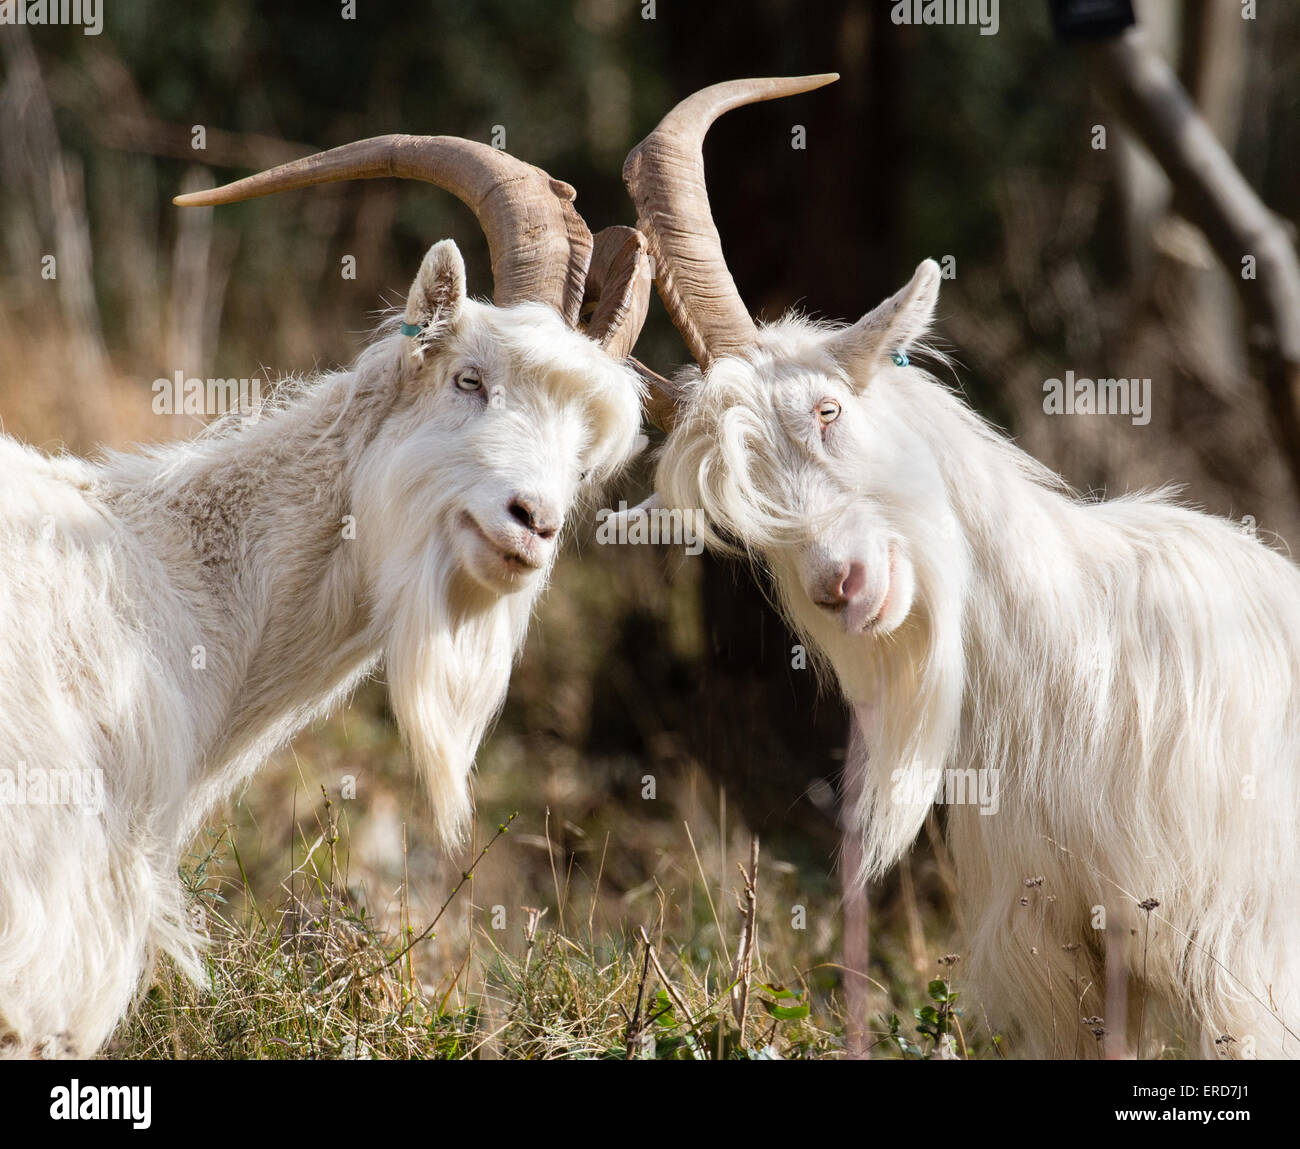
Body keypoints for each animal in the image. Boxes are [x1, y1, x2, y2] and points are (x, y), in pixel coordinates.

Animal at [629, 74, 1300, 1060]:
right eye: (739, 510)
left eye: (828, 410)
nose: (842, 584)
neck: (1079, 663)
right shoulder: (1060, 947)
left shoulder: (1241, 959)